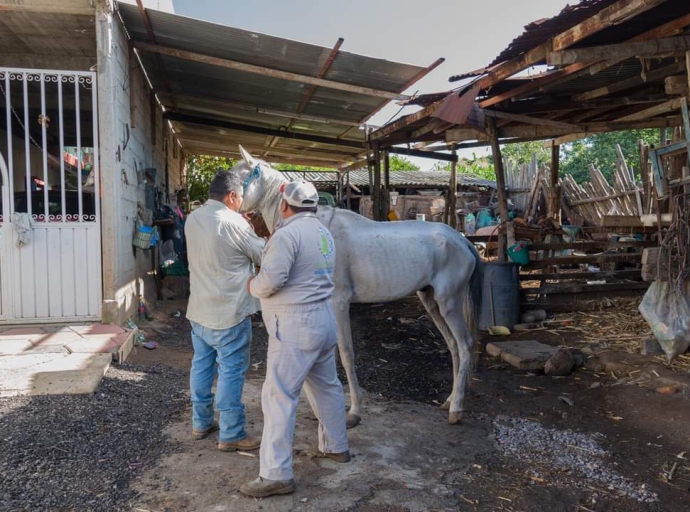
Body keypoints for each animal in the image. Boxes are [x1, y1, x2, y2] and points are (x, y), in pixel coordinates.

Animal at [234, 146, 482, 426]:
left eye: (234, 174)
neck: (314, 227)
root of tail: (462, 240)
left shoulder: (340, 304)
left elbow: (346, 353)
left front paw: (353, 412)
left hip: (449, 303)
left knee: (465, 344)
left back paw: (456, 409)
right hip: (431, 302)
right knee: (452, 345)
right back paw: (450, 400)